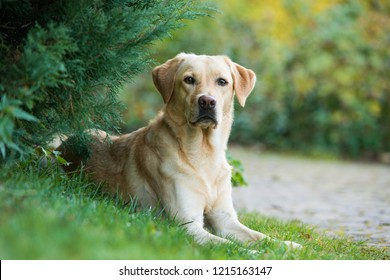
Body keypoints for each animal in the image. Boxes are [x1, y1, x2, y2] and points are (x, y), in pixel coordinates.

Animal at [58, 53, 302, 250]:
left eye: (222, 81)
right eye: (189, 80)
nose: (207, 101)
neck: (203, 153)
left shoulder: (225, 218)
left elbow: (259, 236)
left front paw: (287, 245)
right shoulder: (187, 224)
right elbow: (228, 246)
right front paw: (253, 254)